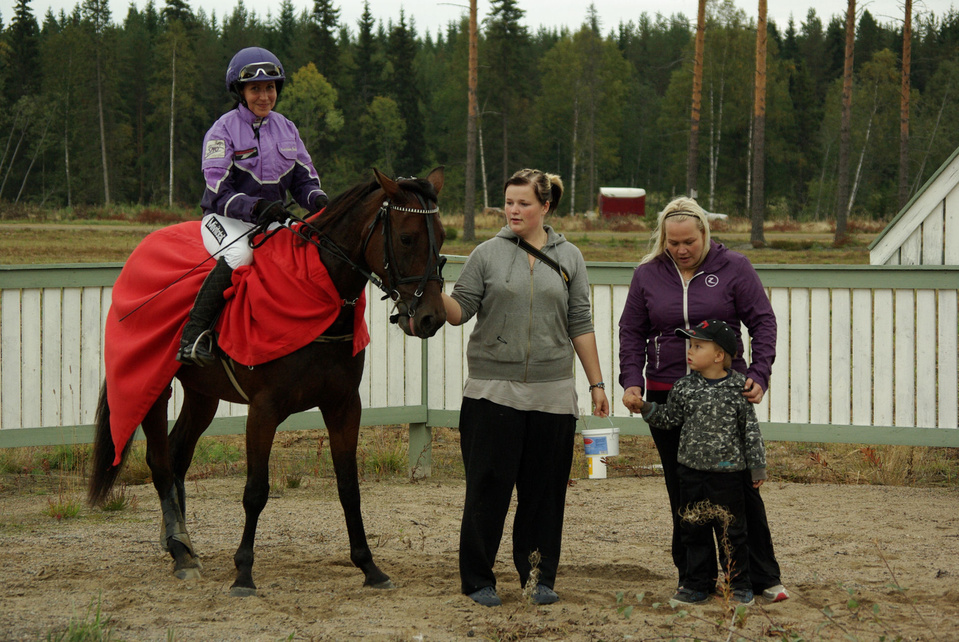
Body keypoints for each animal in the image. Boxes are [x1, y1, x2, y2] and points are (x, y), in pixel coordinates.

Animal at [88, 167, 447, 596]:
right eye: (407, 237)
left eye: (442, 236)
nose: (431, 317)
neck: (314, 291)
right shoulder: (264, 410)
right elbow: (255, 491)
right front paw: (243, 572)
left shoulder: (344, 405)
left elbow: (349, 487)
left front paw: (369, 566)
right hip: (152, 386)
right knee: (159, 462)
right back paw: (181, 554)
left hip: (203, 395)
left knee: (177, 456)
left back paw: (180, 540)